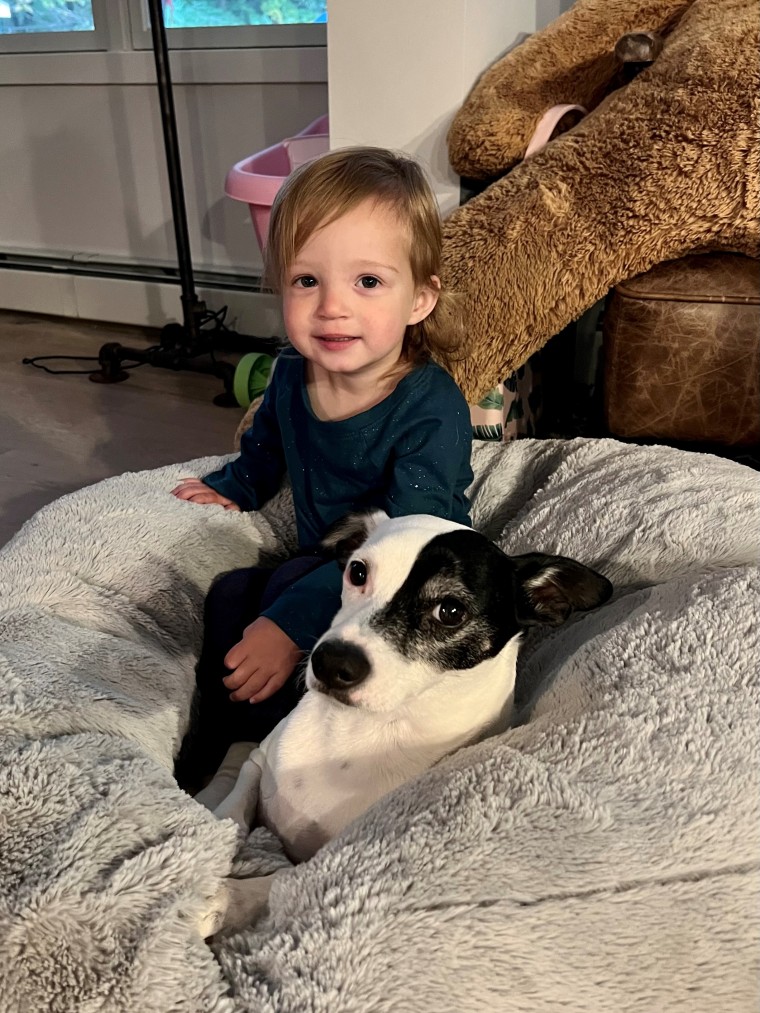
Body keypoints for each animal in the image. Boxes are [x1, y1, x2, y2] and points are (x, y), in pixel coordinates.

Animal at [196, 510, 612, 936]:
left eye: (450, 611)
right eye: (358, 572)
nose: (331, 661)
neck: (360, 730)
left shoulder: (326, 865)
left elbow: (275, 883)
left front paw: (220, 899)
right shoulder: (259, 762)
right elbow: (232, 812)